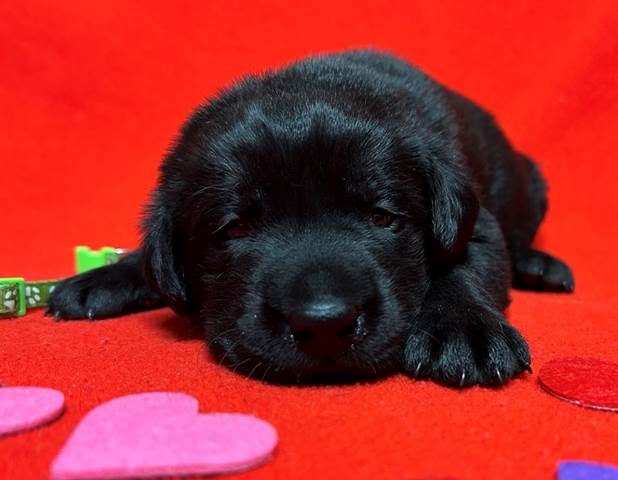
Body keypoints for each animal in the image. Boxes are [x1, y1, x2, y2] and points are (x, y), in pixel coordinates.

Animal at [48, 49, 572, 386]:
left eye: (382, 217)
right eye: (235, 228)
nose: (325, 323)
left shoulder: (476, 220)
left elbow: (464, 265)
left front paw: (463, 329)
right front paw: (108, 275)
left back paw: (539, 265)